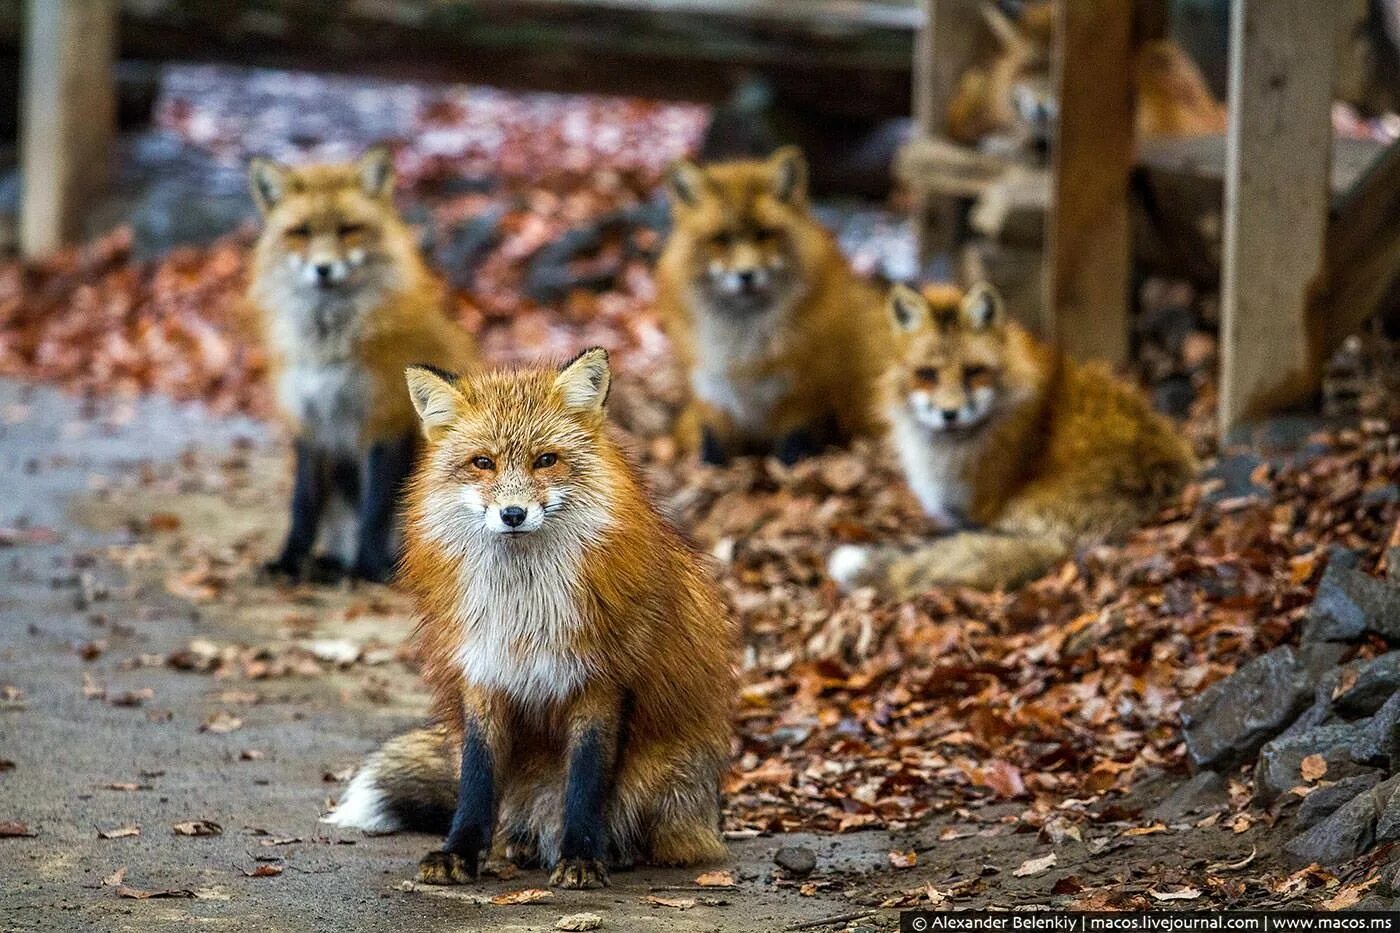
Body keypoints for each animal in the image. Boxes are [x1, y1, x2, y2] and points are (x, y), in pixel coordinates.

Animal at [247, 146, 476, 582]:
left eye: (348, 230)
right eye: (301, 233)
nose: (323, 269)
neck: (329, 348)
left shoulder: (386, 418)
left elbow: (376, 508)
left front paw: (368, 568)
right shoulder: (310, 423)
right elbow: (302, 505)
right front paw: (290, 561)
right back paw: (329, 565)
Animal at [319, 348, 733, 885]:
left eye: (545, 460)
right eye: (483, 463)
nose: (513, 514)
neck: (523, 609)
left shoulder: (600, 684)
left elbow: (585, 785)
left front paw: (582, 857)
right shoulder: (483, 673)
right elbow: (477, 781)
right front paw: (459, 851)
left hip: (663, 777)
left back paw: (612, 852)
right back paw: (515, 846)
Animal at [655, 147, 884, 462]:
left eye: (765, 234)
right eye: (721, 240)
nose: (746, 275)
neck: (745, 354)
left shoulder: (803, 398)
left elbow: (792, 452)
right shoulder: (711, 393)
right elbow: (714, 453)